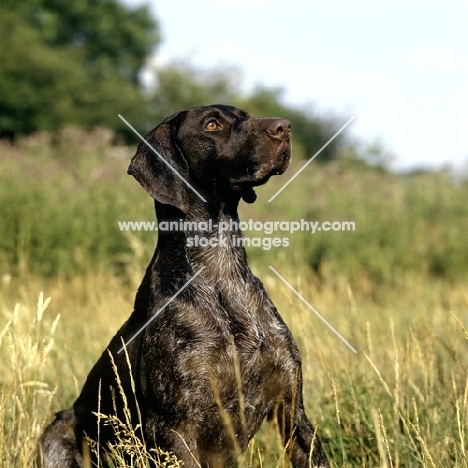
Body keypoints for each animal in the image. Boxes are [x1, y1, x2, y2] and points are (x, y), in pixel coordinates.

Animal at [41, 104, 332, 466]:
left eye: (244, 113)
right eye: (212, 125)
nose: (285, 127)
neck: (221, 273)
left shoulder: (291, 408)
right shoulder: (176, 430)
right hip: (57, 431)